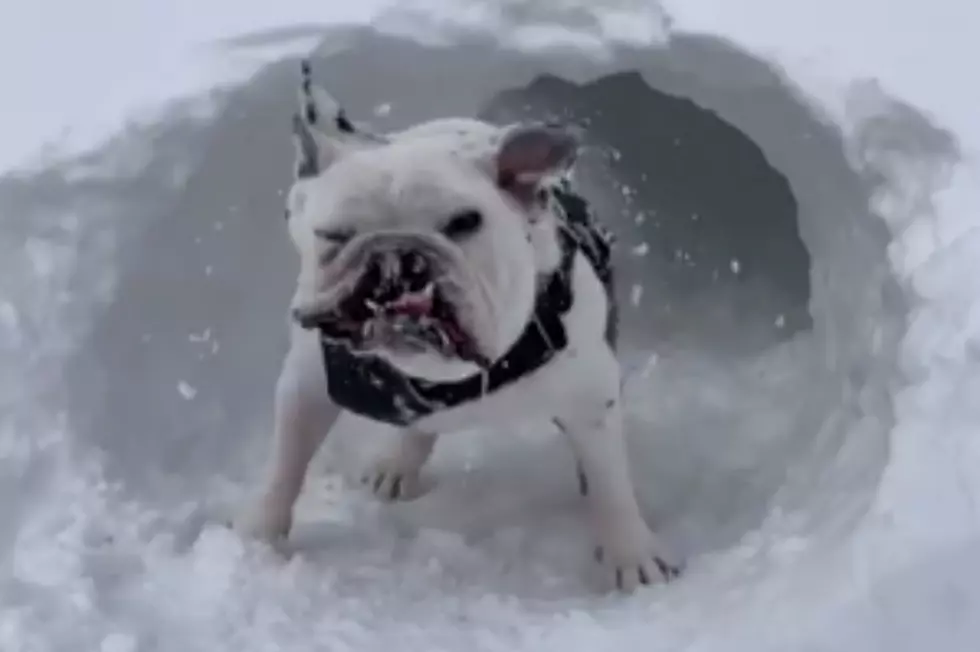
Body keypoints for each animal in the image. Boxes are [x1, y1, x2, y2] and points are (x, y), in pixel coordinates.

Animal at [237, 59, 680, 592]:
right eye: (333, 235)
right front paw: (259, 534)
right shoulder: (305, 387)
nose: (396, 258)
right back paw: (397, 464)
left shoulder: (591, 400)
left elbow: (611, 484)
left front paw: (632, 556)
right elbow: (286, 464)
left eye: (465, 223)